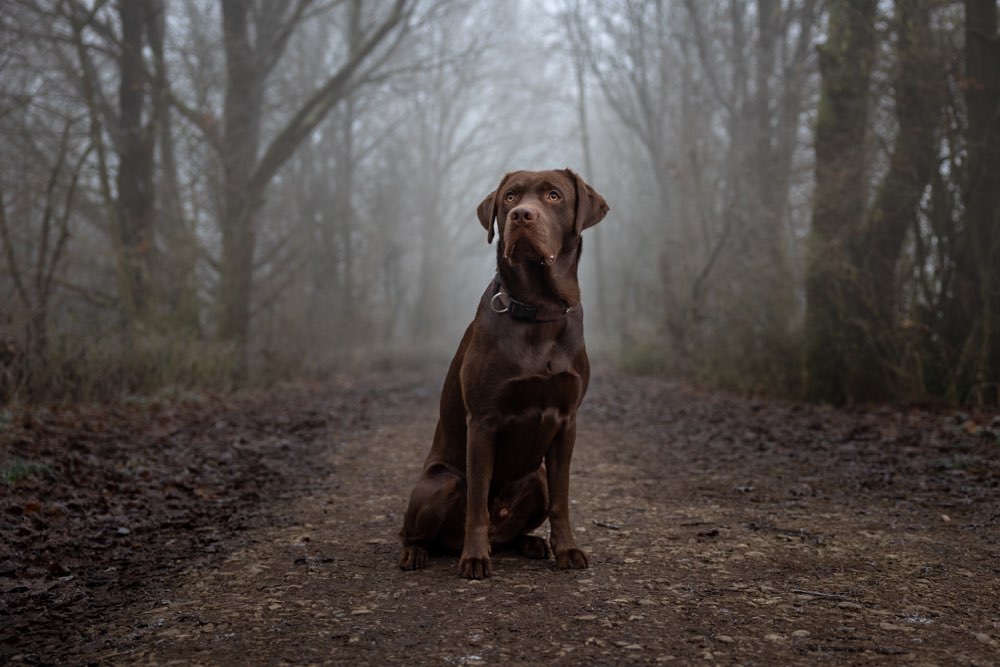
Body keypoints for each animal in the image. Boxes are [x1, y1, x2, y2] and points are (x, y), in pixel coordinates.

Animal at [400, 171, 608, 580]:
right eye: (510, 197)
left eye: (554, 195)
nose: (521, 215)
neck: (540, 312)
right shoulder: (483, 420)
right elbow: (478, 501)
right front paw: (474, 558)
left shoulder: (567, 421)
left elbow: (562, 499)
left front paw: (567, 550)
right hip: (442, 483)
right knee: (413, 530)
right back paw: (417, 553)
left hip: (535, 479)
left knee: (518, 526)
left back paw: (531, 543)